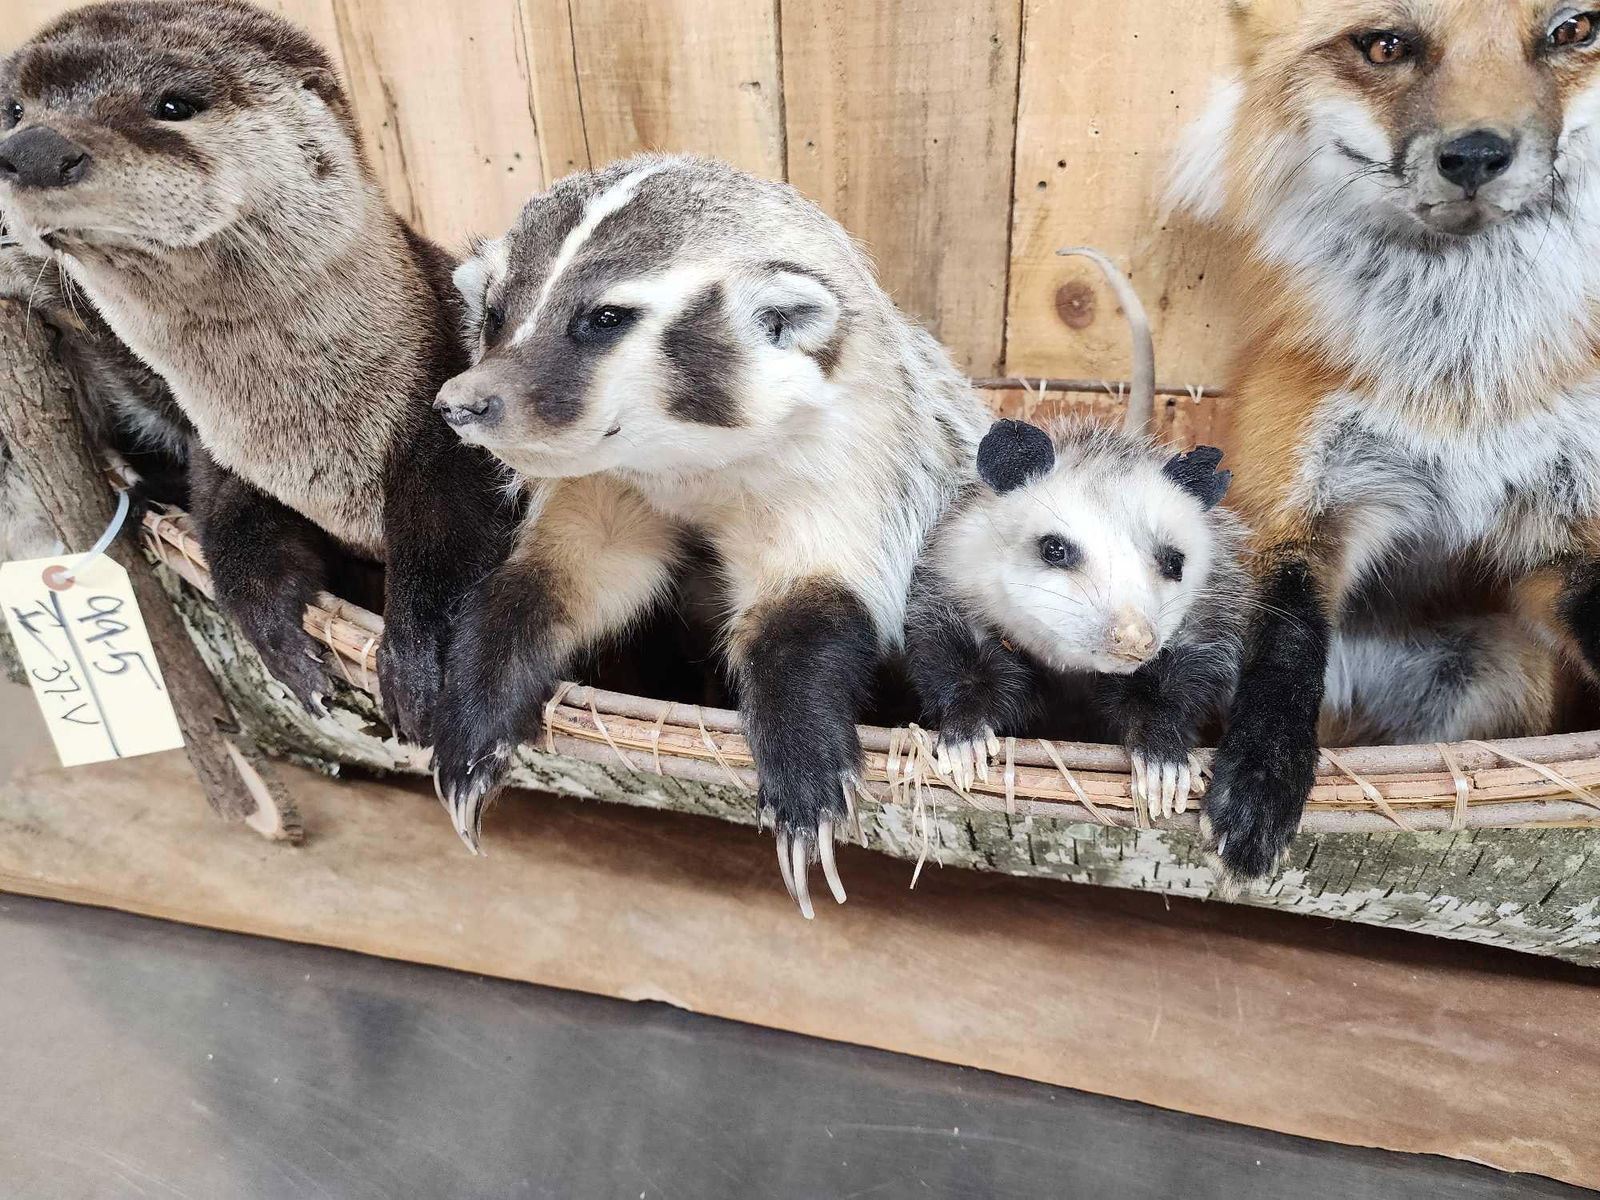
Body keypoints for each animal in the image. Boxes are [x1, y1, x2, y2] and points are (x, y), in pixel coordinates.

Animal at [0, 0, 510, 740]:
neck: (322, 447)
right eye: (13, 108)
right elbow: (231, 536)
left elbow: (456, 547)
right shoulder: (223, 457)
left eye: (175, 103)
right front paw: (283, 645)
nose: (32, 149)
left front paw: (421, 666)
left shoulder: (450, 427)